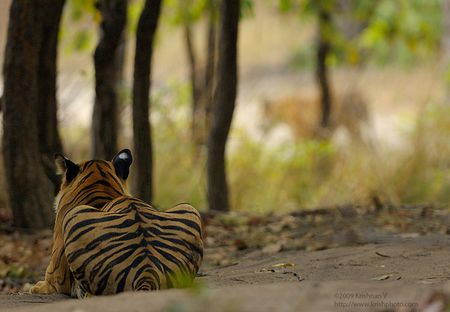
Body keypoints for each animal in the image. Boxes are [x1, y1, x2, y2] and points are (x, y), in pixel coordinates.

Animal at [29, 149, 202, 298]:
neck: (101, 186)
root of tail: (147, 273)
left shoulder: (56, 275)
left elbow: (44, 284)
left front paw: (35, 287)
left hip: (74, 216)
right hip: (189, 208)